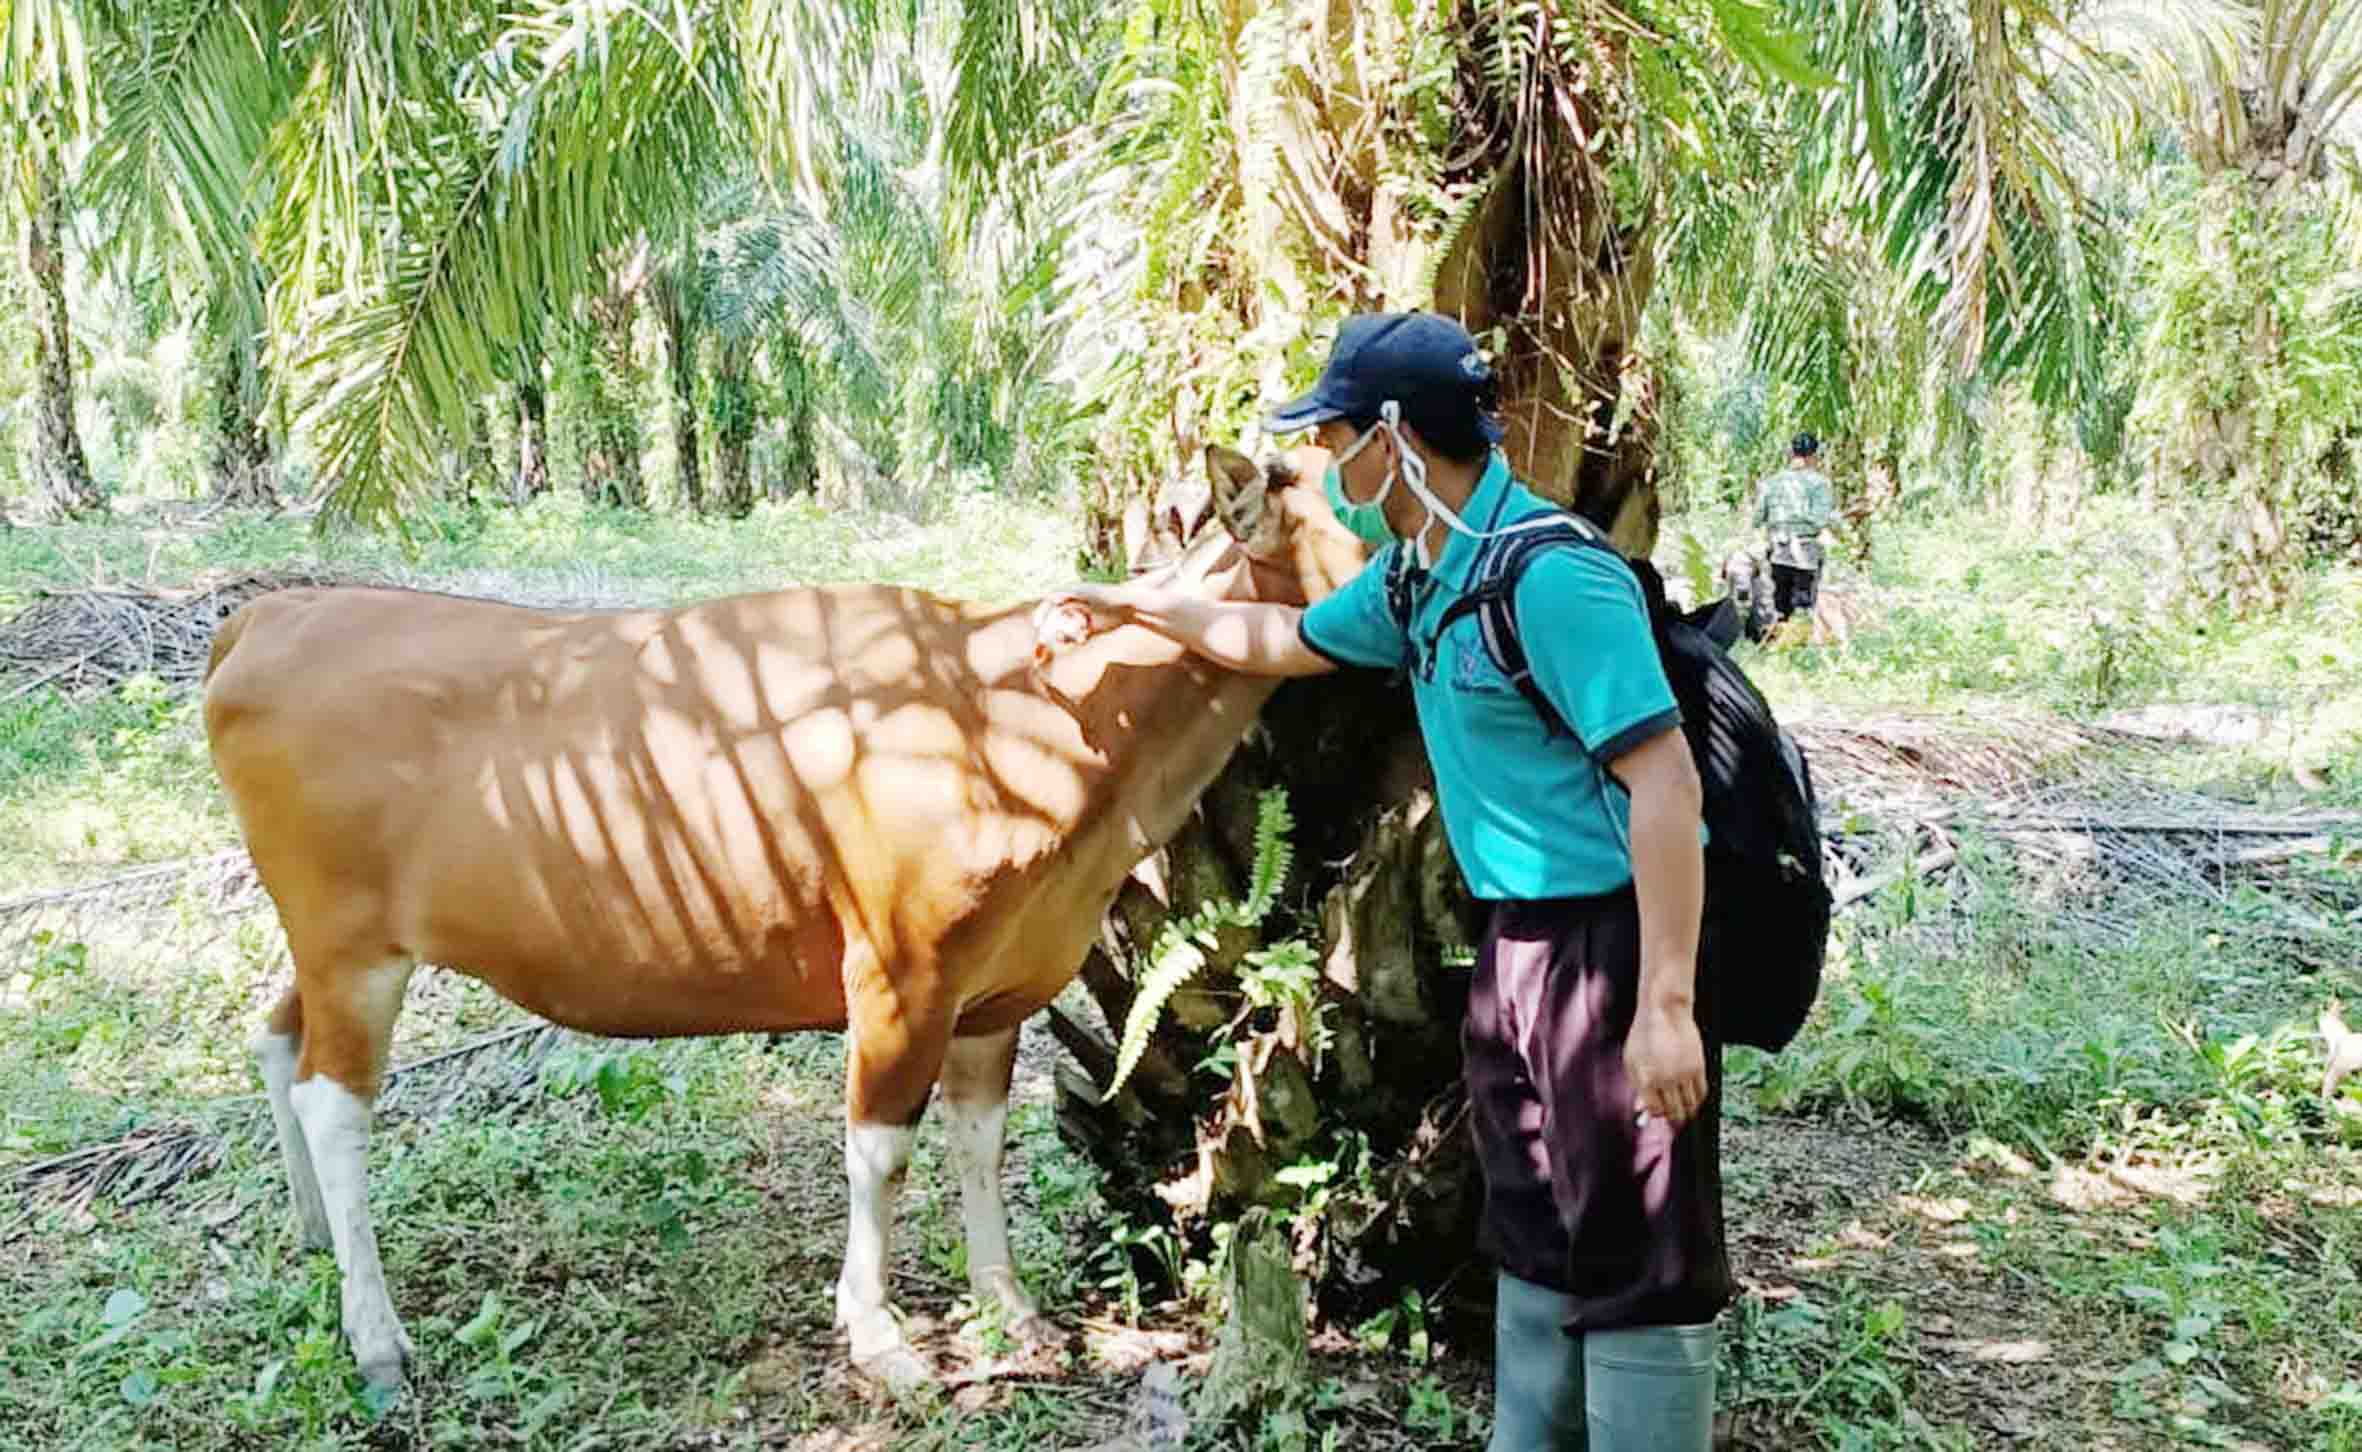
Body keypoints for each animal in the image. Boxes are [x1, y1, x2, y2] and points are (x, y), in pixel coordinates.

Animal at [212, 446, 1379, 1397]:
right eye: (1371, 488)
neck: (1039, 710)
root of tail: (262, 619)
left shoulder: (996, 993)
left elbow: (980, 1140)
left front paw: (1005, 1304)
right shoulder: (900, 975)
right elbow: (880, 1152)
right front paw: (880, 1336)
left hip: (332, 941)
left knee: (276, 1039)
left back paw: (314, 1236)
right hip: (353, 944)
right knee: (334, 1102)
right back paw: (376, 1335)